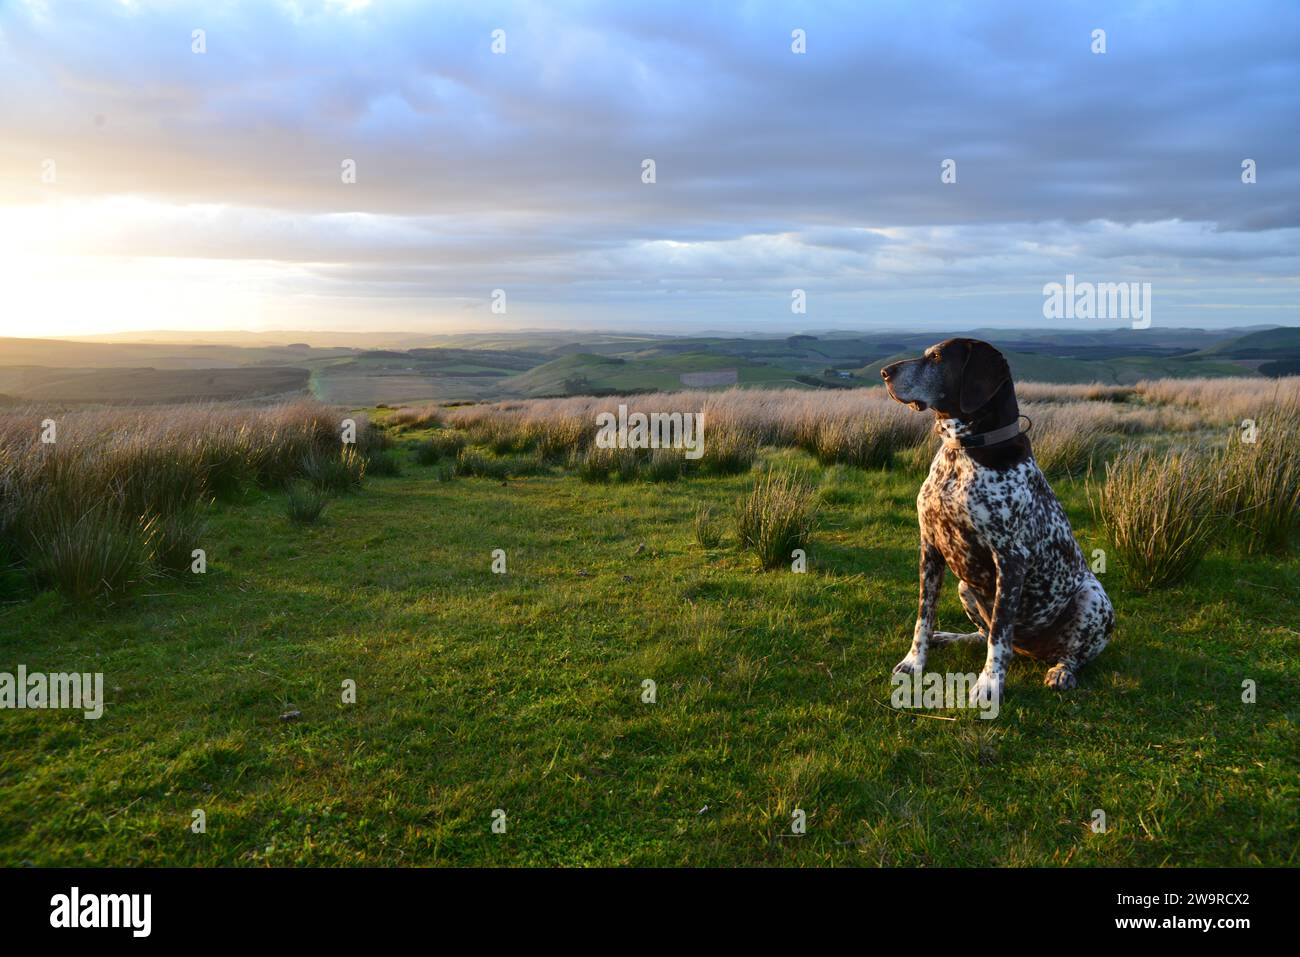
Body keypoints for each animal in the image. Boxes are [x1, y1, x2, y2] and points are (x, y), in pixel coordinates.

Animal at [878, 335, 1112, 702]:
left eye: (937, 357)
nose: (885, 373)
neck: (961, 453)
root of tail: (1031, 650)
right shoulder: (930, 548)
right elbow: (923, 617)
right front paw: (914, 661)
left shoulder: (1011, 558)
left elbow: (1000, 632)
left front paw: (989, 683)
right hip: (964, 585)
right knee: (982, 634)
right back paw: (951, 637)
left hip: (1092, 596)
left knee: (1070, 653)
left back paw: (1062, 671)